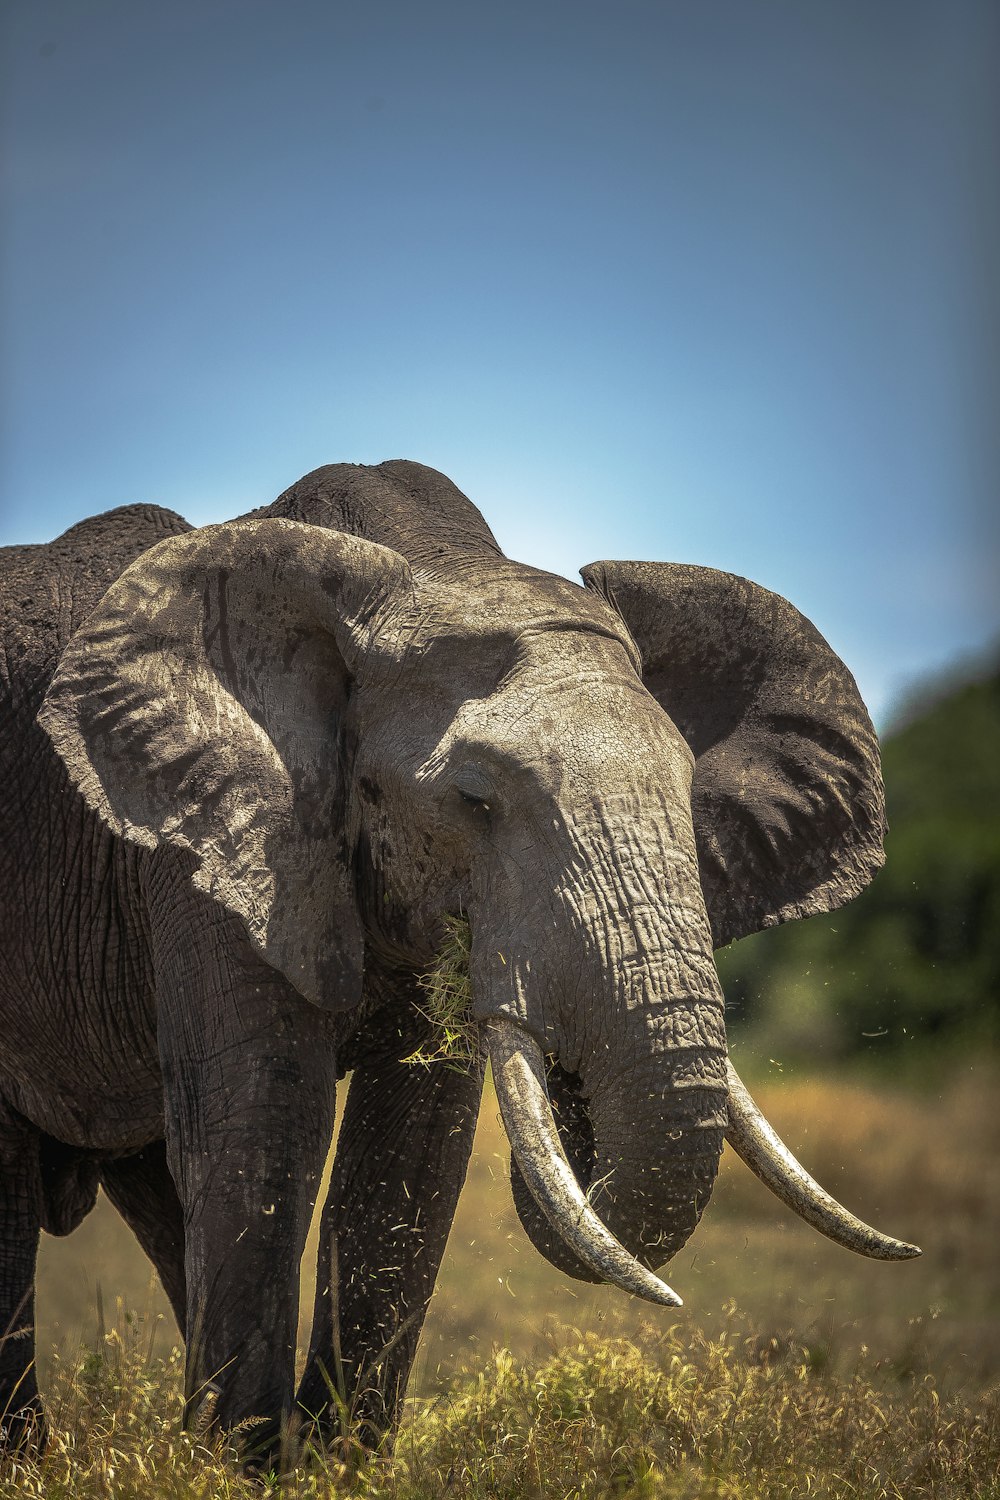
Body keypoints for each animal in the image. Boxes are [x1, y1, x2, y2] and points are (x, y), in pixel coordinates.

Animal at [0, 462, 917, 1458]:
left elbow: (413, 1144)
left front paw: (337, 1465)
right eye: (474, 801)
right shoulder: (207, 845)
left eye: (689, 793)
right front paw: (246, 1470)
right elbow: (265, 1121)